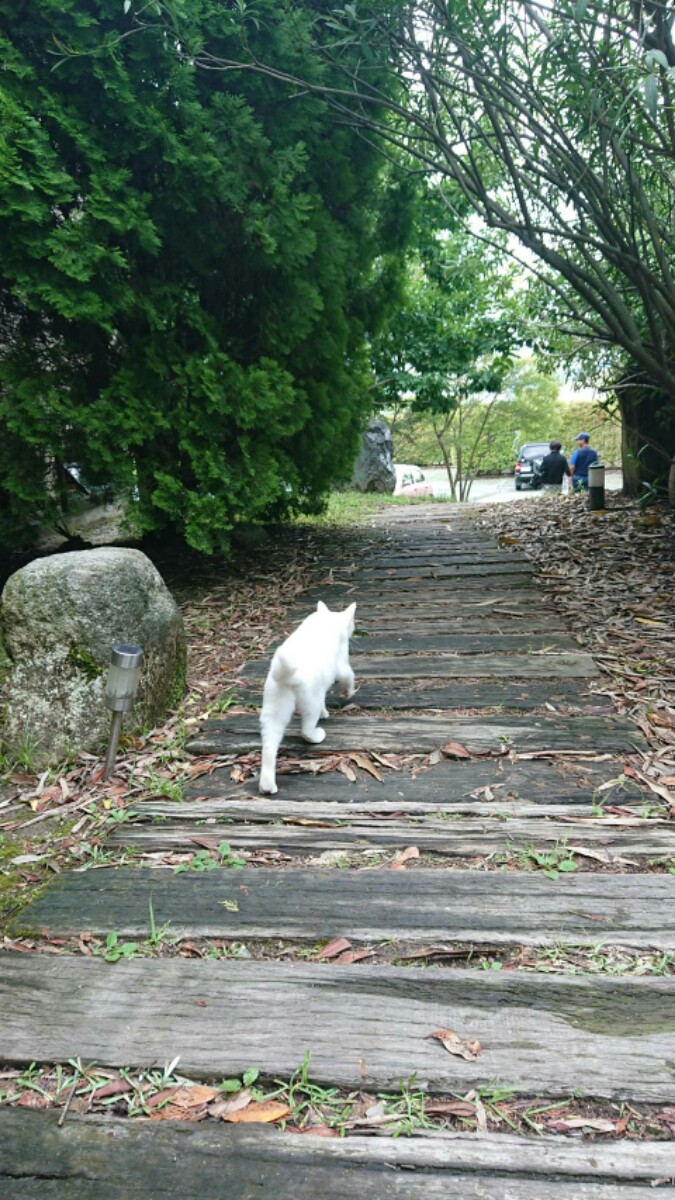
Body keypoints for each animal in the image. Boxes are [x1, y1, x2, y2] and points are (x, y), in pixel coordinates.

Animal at [255, 604, 355, 792]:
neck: (328, 619)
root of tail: (287, 676)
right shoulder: (341, 666)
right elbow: (349, 677)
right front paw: (350, 692)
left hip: (274, 712)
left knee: (269, 749)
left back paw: (267, 786)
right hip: (310, 704)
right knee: (306, 731)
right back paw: (317, 735)